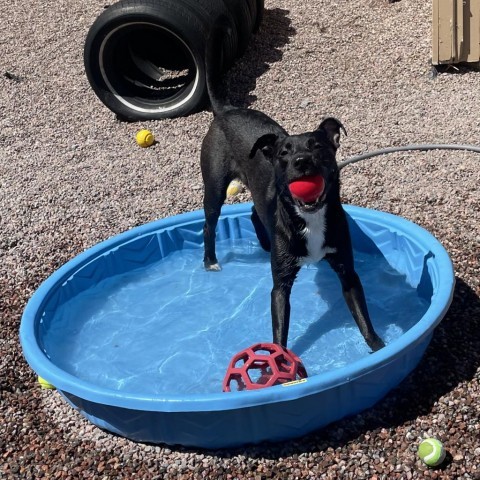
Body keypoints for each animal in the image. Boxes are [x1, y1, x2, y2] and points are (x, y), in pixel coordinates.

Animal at [201, 25, 384, 352]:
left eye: (318, 146)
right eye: (284, 153)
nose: (301, 161)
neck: (309, 217)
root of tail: (226, 111)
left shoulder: (348, 272)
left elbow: (363, 318)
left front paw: (378, 348)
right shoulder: (280, 287)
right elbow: (280, 332)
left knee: (254, 210)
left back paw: (264, 243)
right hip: (214, 186)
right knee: (209, 224)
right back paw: (210, 261)